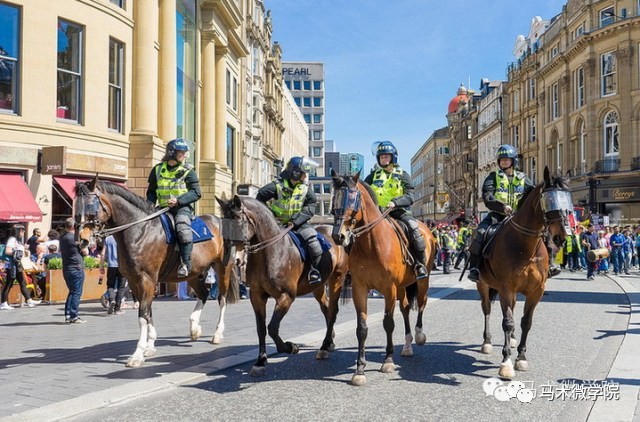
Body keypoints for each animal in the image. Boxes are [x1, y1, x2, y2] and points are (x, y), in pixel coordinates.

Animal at [74, 175, 235, 366]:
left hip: (222, 268)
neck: (140, 231)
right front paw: (150, 346)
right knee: (203, 294)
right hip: (194, 274)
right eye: (76, 207)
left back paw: (217, 334)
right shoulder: (135, 281)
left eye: (91, 206)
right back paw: (194, 328)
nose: (82, 240)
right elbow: (147, 312)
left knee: (222, 299)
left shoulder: (147, 280)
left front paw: (137, 354)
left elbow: (143, 314)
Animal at [215, 196, 348, 378]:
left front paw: (290, 347)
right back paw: (329, 342)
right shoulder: (256, 296)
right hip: (318, 287)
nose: (233, 259)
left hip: (336, 279)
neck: (270, 252)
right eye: (224, 224)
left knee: (333, 310)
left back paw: (324, 346)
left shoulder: (286, 296)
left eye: (238, 221)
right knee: (326, 308)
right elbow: (261, 329)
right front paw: (260, 361)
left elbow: (272, 327)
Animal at [330, 171, 440, 386]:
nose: (339, 236)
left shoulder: (389, 288)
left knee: (421, 302)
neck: (371, 244)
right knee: (405, 308)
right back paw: (407, 345)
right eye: (334, 198)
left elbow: (388, 323)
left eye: (353, 198)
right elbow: (362, 329)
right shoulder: (360, 288)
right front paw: (359, 370)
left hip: (422, 280)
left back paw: (419, 335)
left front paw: (388, 361)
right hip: (403, 286)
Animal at [472, 166, 572, 380]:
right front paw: (506, 363)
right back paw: (487, 342)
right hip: (483, 286)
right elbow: (507, 322)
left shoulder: (536, 292)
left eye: (567, 198)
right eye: (548, 199)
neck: (526, 248)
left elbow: (526, 322)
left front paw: (521, 358)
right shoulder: (505, 289)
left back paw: (511, 340)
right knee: (487, 310)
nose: (561, 236)